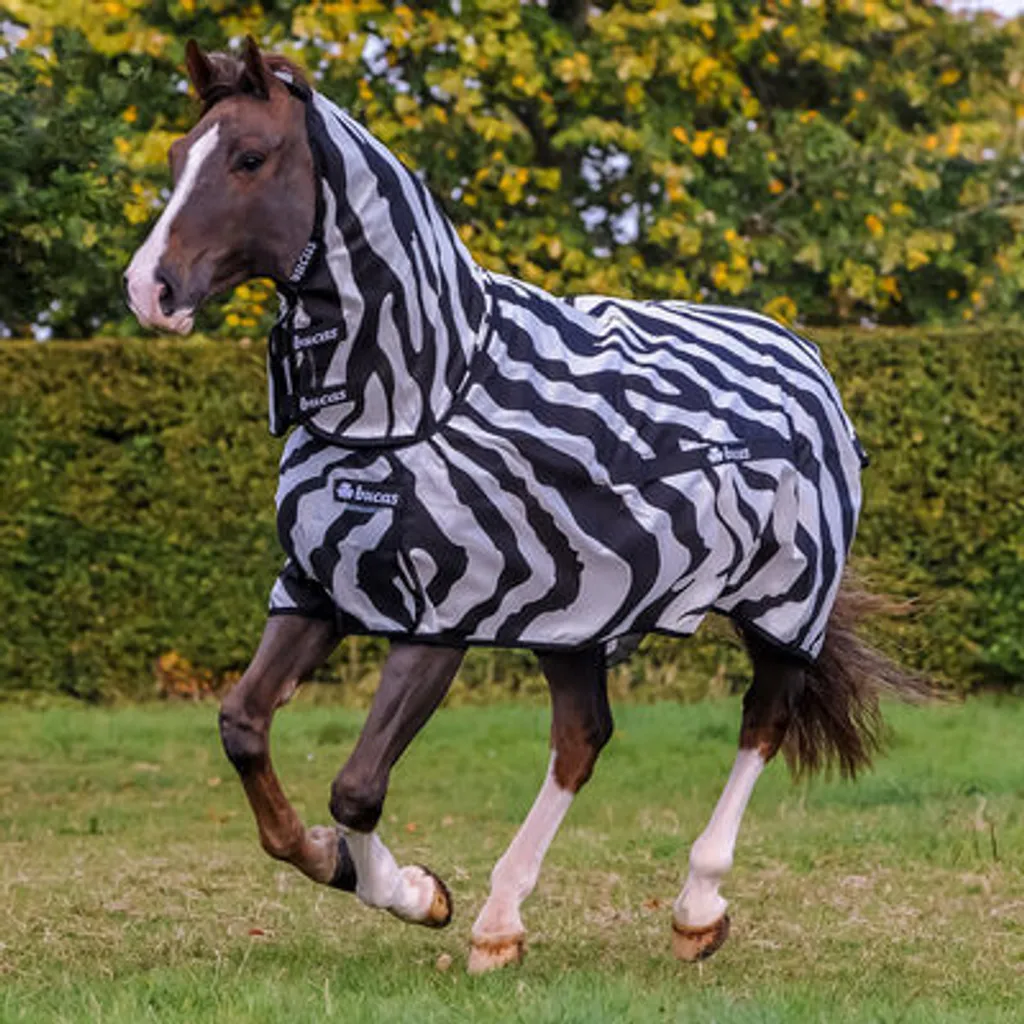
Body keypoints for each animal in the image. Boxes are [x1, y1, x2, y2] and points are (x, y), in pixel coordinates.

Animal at [124, 38, 925, 972]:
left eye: (250, 158)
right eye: (178, 157)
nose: (150, 289)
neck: (427, 386)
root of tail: (804, 356)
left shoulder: (441, 615)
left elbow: (357, 787)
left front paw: (413, 892)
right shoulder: (320, 587)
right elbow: (244, 728)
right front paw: (341, 864)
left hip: (781, 606)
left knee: (761, 726)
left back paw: (696, 909)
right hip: (575, 615)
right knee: (582, 741)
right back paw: (500, 924)